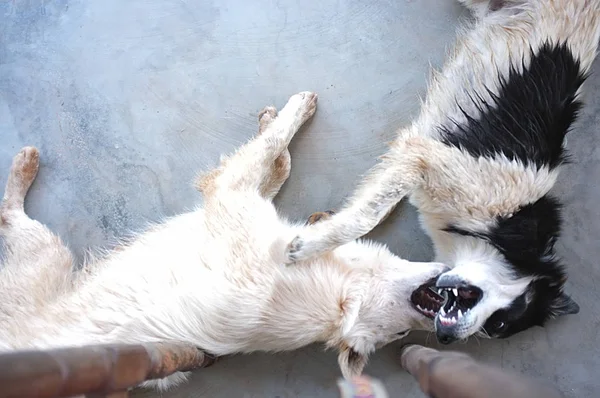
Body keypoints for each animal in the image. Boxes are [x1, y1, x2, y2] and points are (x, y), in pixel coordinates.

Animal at [0, 92, 446, 388]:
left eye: (397, 337)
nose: (447, 334)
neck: (329, 290)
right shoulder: (239, 199)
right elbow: (276, 158)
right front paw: (283, 117)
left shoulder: (231, 194)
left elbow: (270, 154)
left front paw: (288, 115)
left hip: (47, 253)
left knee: (8, 216)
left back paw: (23, 165)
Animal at [282, 0, 600, 342]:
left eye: (496, 328)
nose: (448, 339)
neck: (501, 226)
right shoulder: (425, 159)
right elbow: (367, 216)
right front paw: (306, 247)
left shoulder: (412, 155)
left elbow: (376, 200)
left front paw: (324, 226)